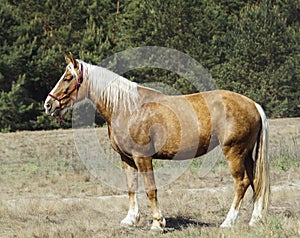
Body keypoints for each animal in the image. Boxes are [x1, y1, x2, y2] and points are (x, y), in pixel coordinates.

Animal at [44, 52, 270, 232]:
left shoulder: (142, 157)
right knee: (255, 181)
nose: (48, 104)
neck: (127, 108)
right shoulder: (126, 158)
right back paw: (255, 220)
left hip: (234, 152)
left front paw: (157, 224)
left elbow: (150, 189)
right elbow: (131, 187)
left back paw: (228, 222)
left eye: (67, 78)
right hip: (246, 154)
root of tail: (252, 104)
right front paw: (130, 219)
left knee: (241, 183)